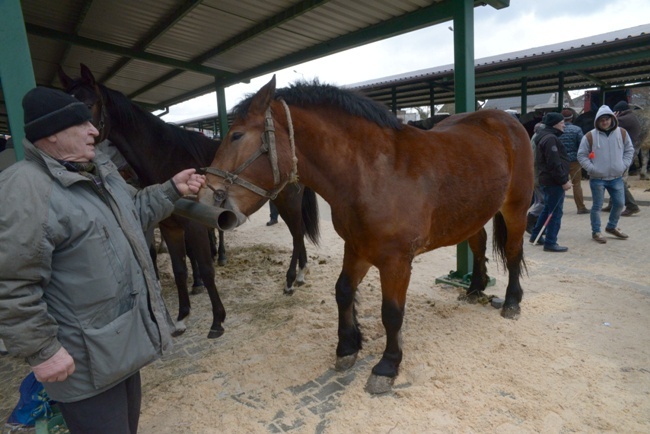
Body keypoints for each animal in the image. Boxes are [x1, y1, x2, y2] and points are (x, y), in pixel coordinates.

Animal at [57, 66, 318, 340]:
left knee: (297, 234)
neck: (167, 157)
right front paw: (182, 318)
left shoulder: (195, 227)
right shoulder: (170, 227)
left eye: (88, 105)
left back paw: (292, 278)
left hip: (288, 203)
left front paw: (217, 320)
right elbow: (180, 270)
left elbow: (205, 267)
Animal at [197, 77, 532, 394]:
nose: (204, 199)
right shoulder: (357, 248)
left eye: (236, 135)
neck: (372, 173)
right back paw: (475, 288)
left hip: (516, 208)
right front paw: (347, 347)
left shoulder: (396, 261)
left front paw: (387, 365)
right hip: (474, 214)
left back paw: (511, 302)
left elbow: (392, 312)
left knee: (513, 252)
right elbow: (343, 291)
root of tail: (507, 120)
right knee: (479, 245)